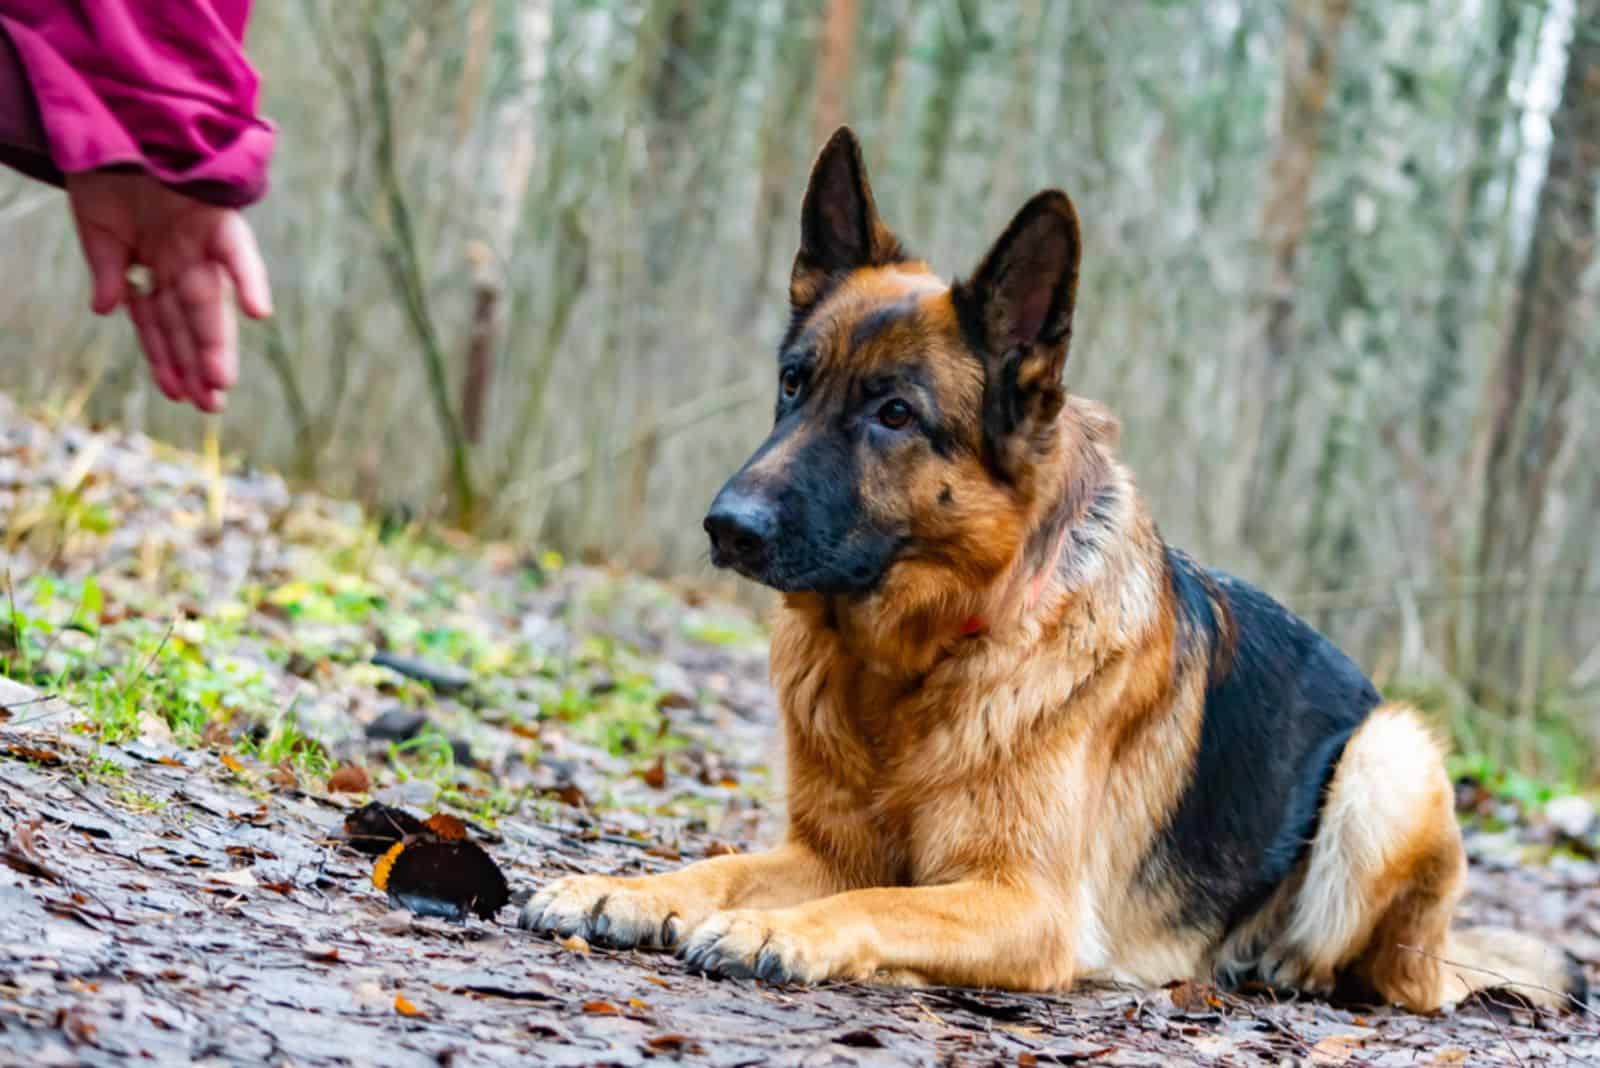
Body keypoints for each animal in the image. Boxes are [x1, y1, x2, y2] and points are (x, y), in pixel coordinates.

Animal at [524, 129, 1587, 1016]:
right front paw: (630, 889)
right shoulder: (824, 852)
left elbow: (875, 904)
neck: (920, 662)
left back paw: (1286, 964)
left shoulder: (1023, 902)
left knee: (1384, 973)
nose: (727, 527)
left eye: (895, 414)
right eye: (794, 384)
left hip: (1389, 756)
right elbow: (722, 865)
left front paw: (770, 930)